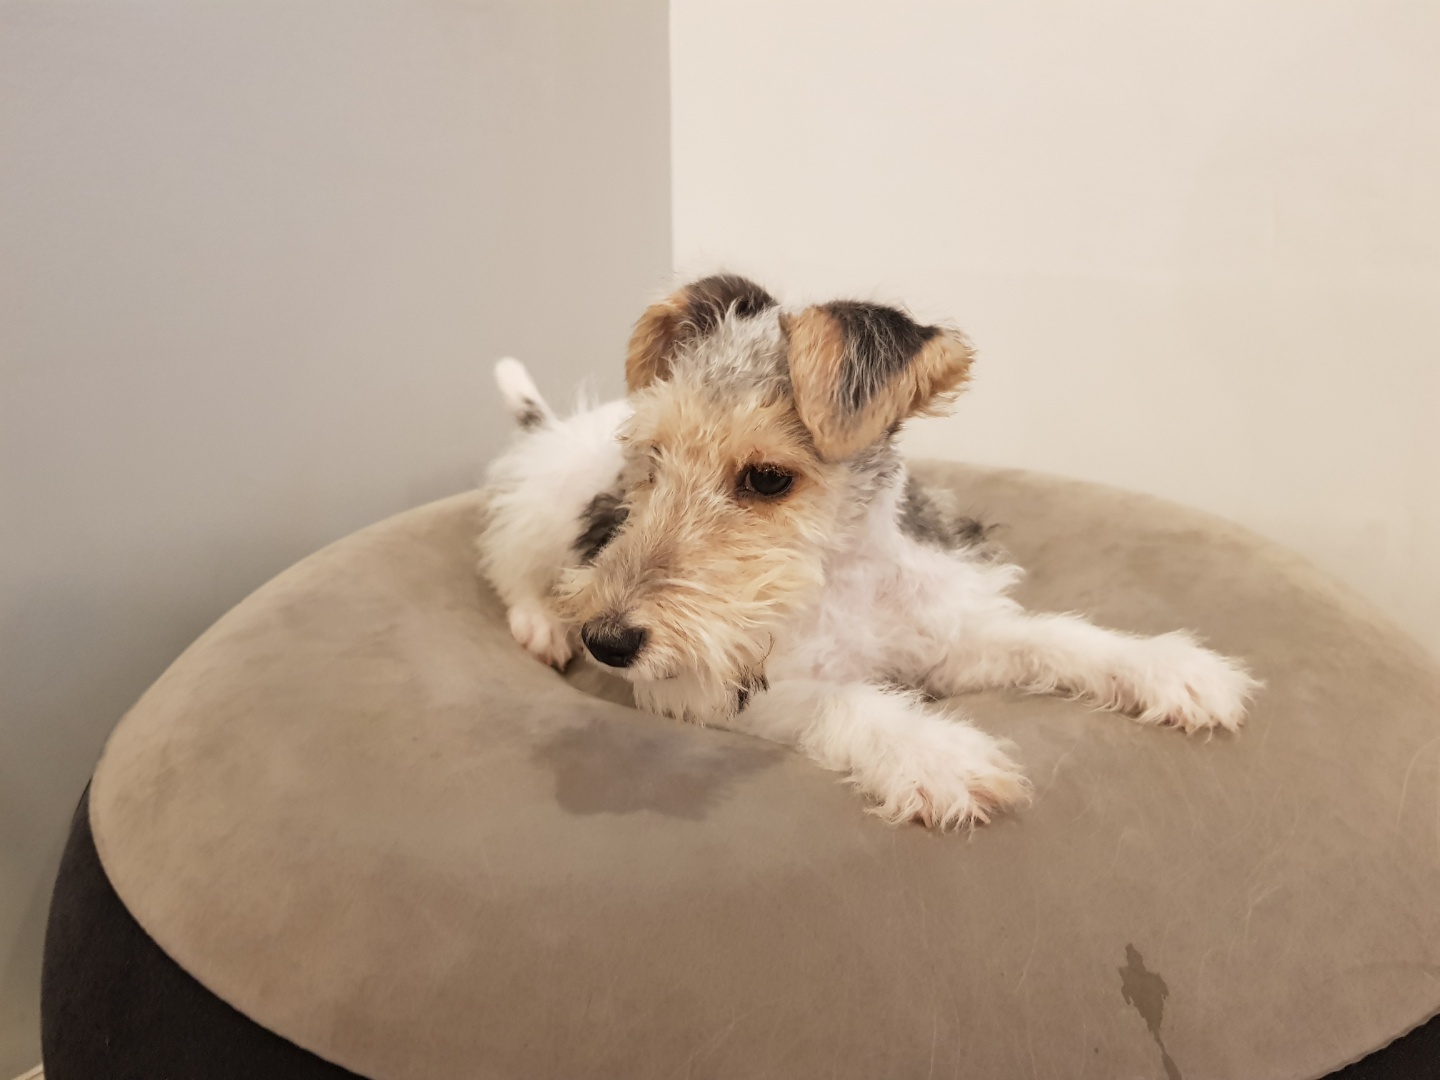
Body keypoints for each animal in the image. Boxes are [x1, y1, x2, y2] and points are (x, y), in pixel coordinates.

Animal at [478, 275, 1259, 828]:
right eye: (653, 460)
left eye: (768, 477)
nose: (606, 642)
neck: (840, 576)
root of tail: (565, 427)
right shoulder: (718, 689)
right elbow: (841, 698)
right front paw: (937, 755)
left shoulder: (950, 640)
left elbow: (1052, 639)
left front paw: (1174, 670)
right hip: (545, 508)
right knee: (510, 568)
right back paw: (542, 626)